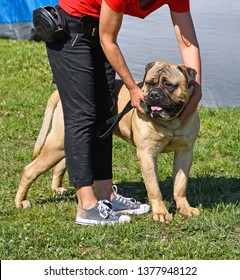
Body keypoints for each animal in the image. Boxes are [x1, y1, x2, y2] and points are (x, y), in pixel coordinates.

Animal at [14, 61, 199, 223]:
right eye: (149, 83)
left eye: (169, 85)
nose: (153, 94)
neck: (171, 123)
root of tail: (61, 94)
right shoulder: (147, 155)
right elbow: (154, 188)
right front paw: (160, 213)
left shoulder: (185, 153)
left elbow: (180, 184)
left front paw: (185, 208)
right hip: (56, 144)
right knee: (30, 170)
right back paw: (20, 201)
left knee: (63, 163)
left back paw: (57, 188)